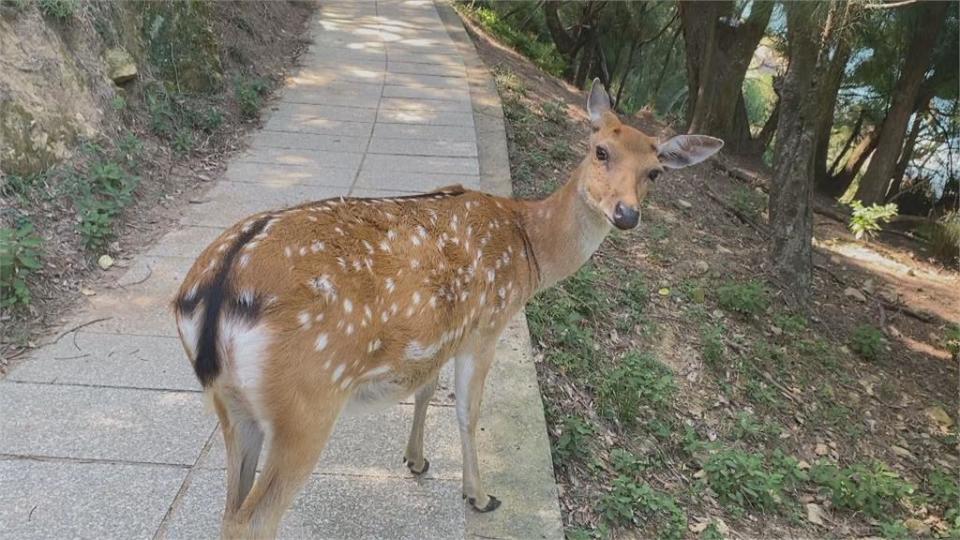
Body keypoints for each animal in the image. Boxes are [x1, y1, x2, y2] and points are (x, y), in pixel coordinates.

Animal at [172, 79, 720, 536]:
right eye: (600, 150)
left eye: (654, 172)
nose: (626, 214)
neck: (528, 251)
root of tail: (212, 291)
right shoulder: (487, 325)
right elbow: (466, 411)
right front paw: (479, 496)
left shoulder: (442, 332)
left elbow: (425, 388)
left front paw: (416, 460)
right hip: (307, 402)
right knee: (254, 519)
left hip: (232, 406)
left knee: (229, 511)